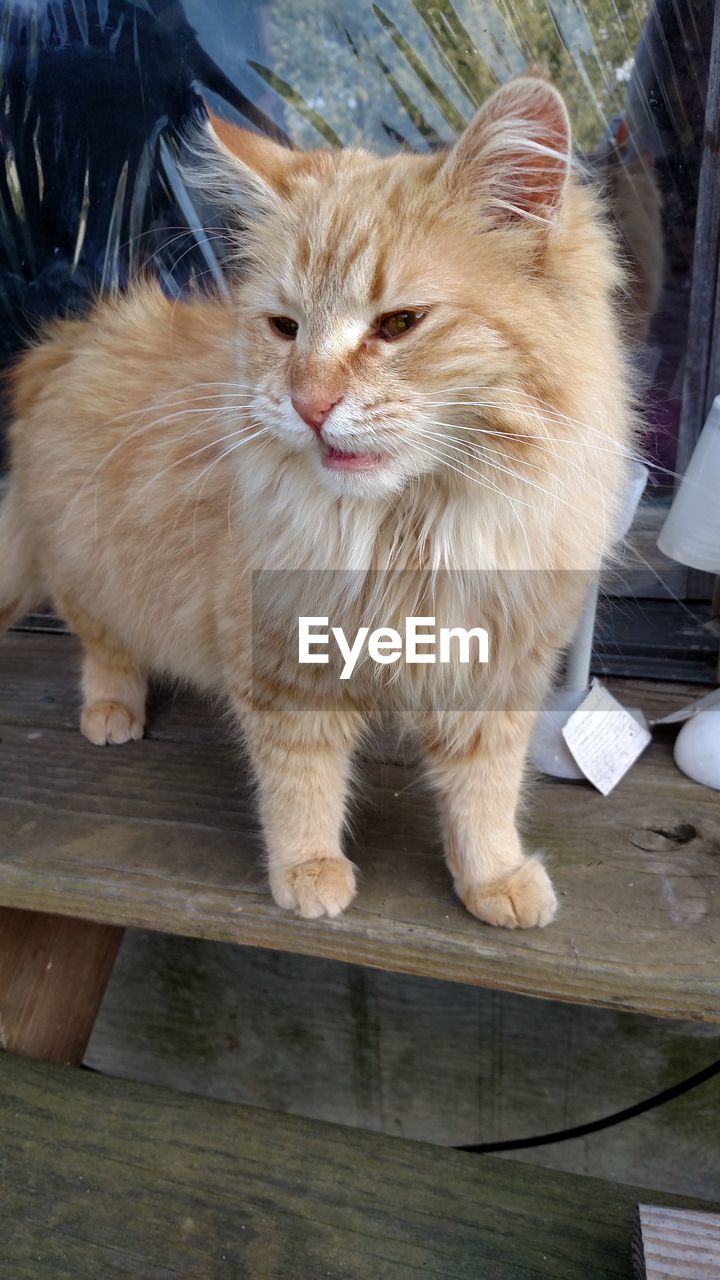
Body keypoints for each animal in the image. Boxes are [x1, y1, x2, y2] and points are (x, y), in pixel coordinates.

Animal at [1, 74, 627, 926]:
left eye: (399, 323)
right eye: (284, 327)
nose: (309, 404)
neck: (410, 530)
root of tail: (72, 335)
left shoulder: (496, 670)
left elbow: (485, 793)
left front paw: (492, 879)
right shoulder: (280, 664)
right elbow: (301, 786)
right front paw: (309, 874)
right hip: (92, 571)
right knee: (104, 648)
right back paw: (112, 714)